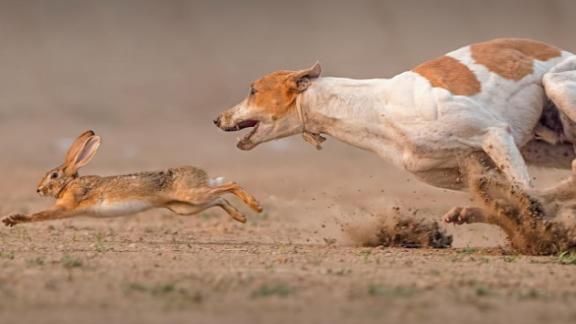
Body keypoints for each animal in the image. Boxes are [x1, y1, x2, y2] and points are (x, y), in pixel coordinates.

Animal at [214, 38, 572, 220]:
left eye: (253, 90)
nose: (218, 119)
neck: (376, 107)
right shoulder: (466, 170)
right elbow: (512, 195)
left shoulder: (494, 133)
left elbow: (525, 191)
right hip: (543, 145)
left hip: (556, 87)